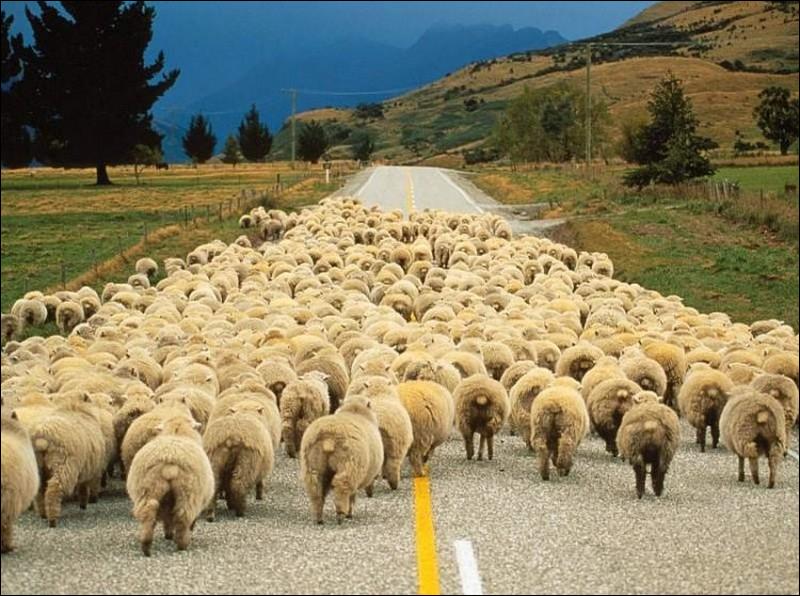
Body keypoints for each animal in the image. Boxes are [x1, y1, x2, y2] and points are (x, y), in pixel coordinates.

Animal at [126, 415, 214, 556]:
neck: (176, 433)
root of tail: (169, 464)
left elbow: (167, 519)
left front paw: (168, 534)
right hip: (188, 492)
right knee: (183, 515)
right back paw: (182, 544)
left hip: (148, 488)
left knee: (149, 510)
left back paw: (146, 544)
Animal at [299, 395, 384, 524]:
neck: (354, 410)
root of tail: (328, 437)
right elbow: (353, 496)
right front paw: (350, 513)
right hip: (349, 466)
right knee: (342, 486)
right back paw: (341, 514)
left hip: (312, 465)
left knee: (316, 489)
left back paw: (318, 517)